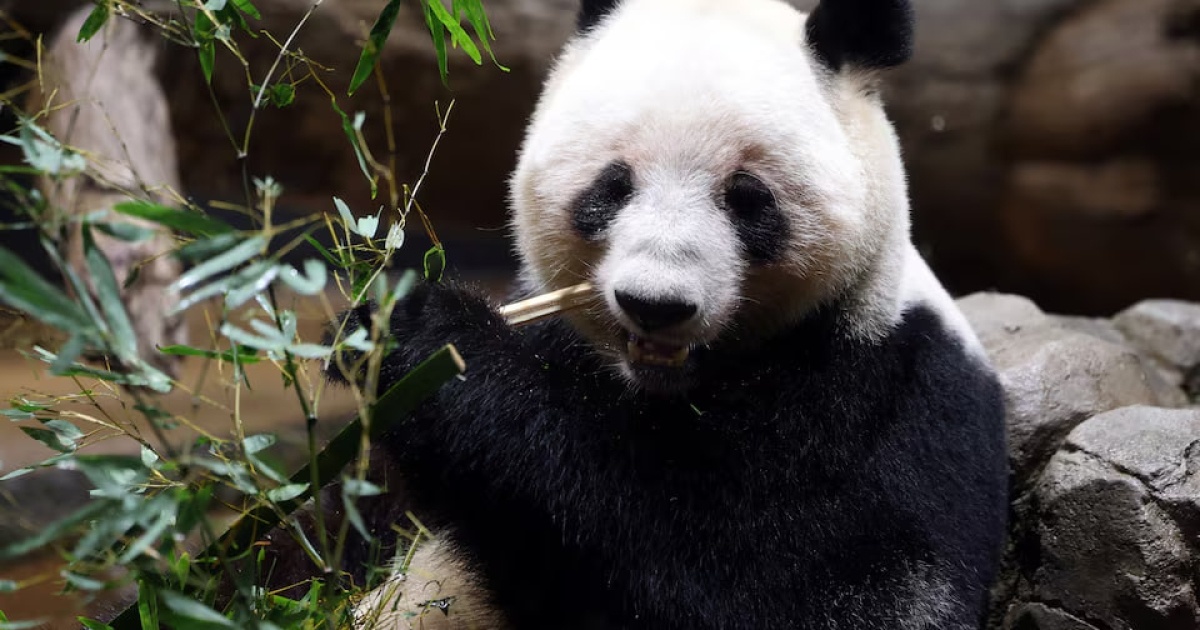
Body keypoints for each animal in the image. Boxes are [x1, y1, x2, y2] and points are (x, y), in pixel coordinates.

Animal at [332, 0, 1010, 628]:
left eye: (748, 199)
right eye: (612, 186)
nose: (654, 305)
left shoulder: (872, 404)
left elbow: (739, 585)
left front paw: (434, 342)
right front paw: (368, 338)